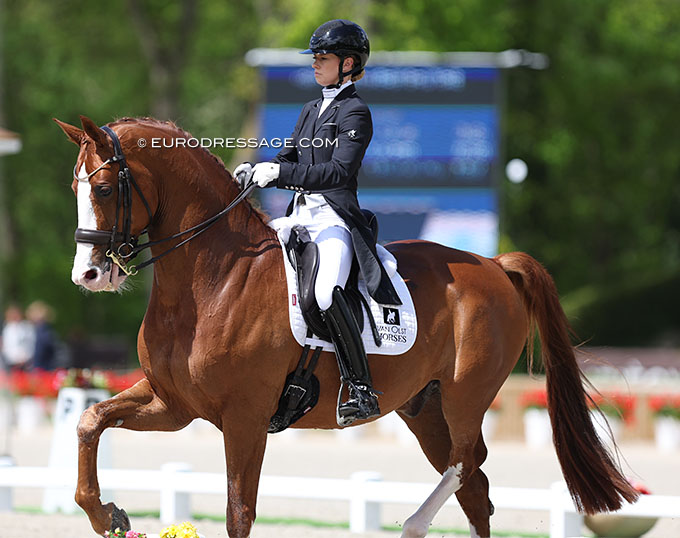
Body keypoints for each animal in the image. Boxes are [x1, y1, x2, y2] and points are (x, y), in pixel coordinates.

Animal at [54, 116, 636, 536]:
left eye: (102, 189)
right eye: (75, 190)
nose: (87, 274)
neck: (211, 281)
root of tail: (493, 265)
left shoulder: (244, 418)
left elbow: (239, 512)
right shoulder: (174, 405)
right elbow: (88, 421)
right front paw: (107, 515)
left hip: (466, 394)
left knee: (465, 465)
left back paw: (412, 525)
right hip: (424, 408)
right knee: (476, 490)